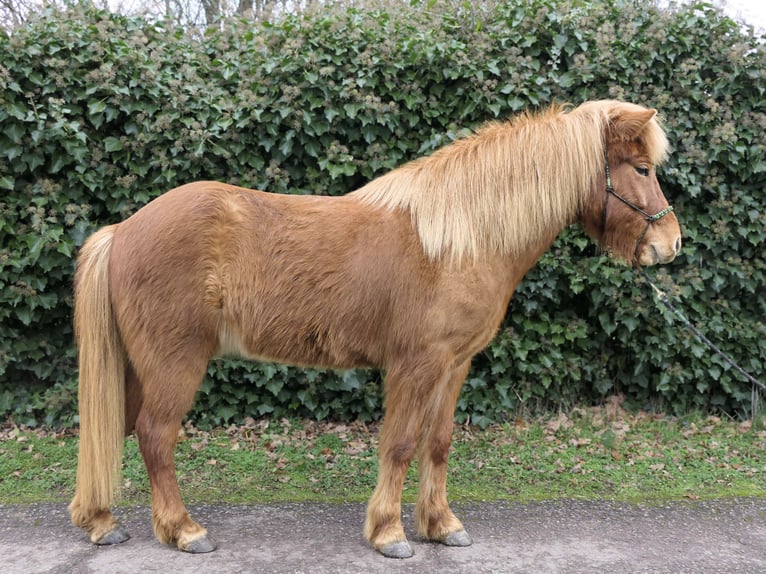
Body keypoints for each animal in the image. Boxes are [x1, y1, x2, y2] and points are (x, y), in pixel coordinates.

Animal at [70, 99, 684, 560]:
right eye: (642, 169)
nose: (669, 244)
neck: (460, 237)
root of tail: (123, 230)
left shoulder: (455, 365)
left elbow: (438, 442)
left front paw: (441, 525)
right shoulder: (417, 364)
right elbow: (401, 444)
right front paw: (389, 533)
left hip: (136, 368)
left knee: (116, 427)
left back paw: (102, 522)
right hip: (174, 364)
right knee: (155, 436)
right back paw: (183, 530)